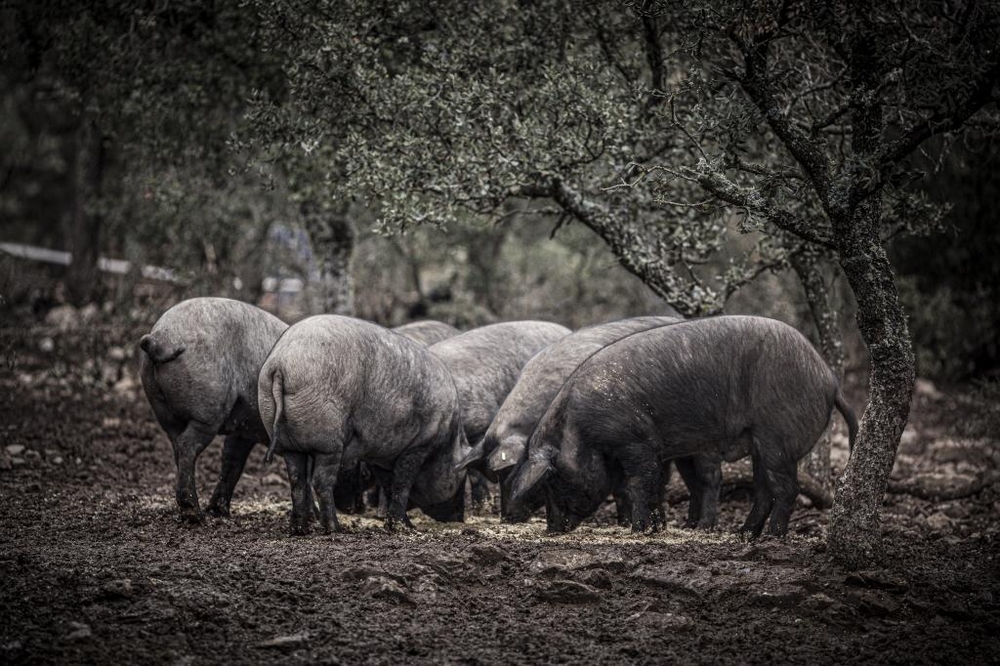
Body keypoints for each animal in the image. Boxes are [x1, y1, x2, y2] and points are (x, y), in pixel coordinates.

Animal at [138, 296, 286, 520]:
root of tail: (158, 339)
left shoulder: (244, 429)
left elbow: (232, 461)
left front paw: (219, 511)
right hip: (208, 411)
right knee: (187, 445)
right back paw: (195, 514)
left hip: (162, 410)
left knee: (177, 446)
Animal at [258, 312, 468, 536]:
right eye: (461, 476)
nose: (459, 518)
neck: (448, 437)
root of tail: (280, 363)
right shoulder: (419, 445)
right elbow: (402, 485)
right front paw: (405, 527)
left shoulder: (381, 455)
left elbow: (389, 486)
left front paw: (398, 525)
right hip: (328, 441)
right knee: (321, 482)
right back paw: (335, 528)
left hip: (286, 439)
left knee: (297, 481)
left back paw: (299, 529)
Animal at [512, 314, 856, 536]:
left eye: (553, 479)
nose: (551, 530)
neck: (582, 430)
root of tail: (830, 381)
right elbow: (652, 486)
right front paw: (655, 529)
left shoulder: (636, 441)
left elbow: (639, 484)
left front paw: (637, 531)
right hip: (761, 443)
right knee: (763, 490)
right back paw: (744, 535)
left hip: (778, 437)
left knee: (785, 489)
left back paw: (771, 536)